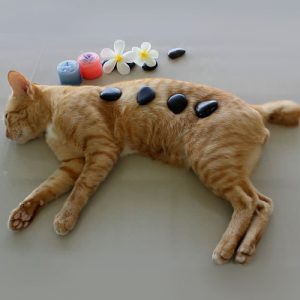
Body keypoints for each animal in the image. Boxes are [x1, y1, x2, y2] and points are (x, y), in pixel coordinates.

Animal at [4, 71, 300, 264]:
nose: (6, 135)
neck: (53, 117)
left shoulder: (101, 151)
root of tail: (254, 108)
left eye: (6, 117)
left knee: (247, 203)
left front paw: (65, 218)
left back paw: (226, 247)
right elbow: (44, 189)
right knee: (264, 202)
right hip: (228, 170)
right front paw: (23, 213)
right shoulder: (71, 165)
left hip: (211, 163)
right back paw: (245, 249)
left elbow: (79, 190)